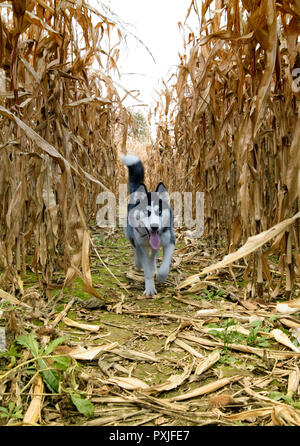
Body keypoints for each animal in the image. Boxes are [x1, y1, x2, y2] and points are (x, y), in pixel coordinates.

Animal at [121, 154, 176, 296]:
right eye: (146, 212)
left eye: (159, 212)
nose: (155, 227)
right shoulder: (141, 245)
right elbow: (146, 268)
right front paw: (150, 288)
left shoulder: (170, 241)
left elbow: (165, 265)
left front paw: (161, 276)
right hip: (131, 236)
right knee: (137, 250)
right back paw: (138, 263)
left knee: (154, 255)